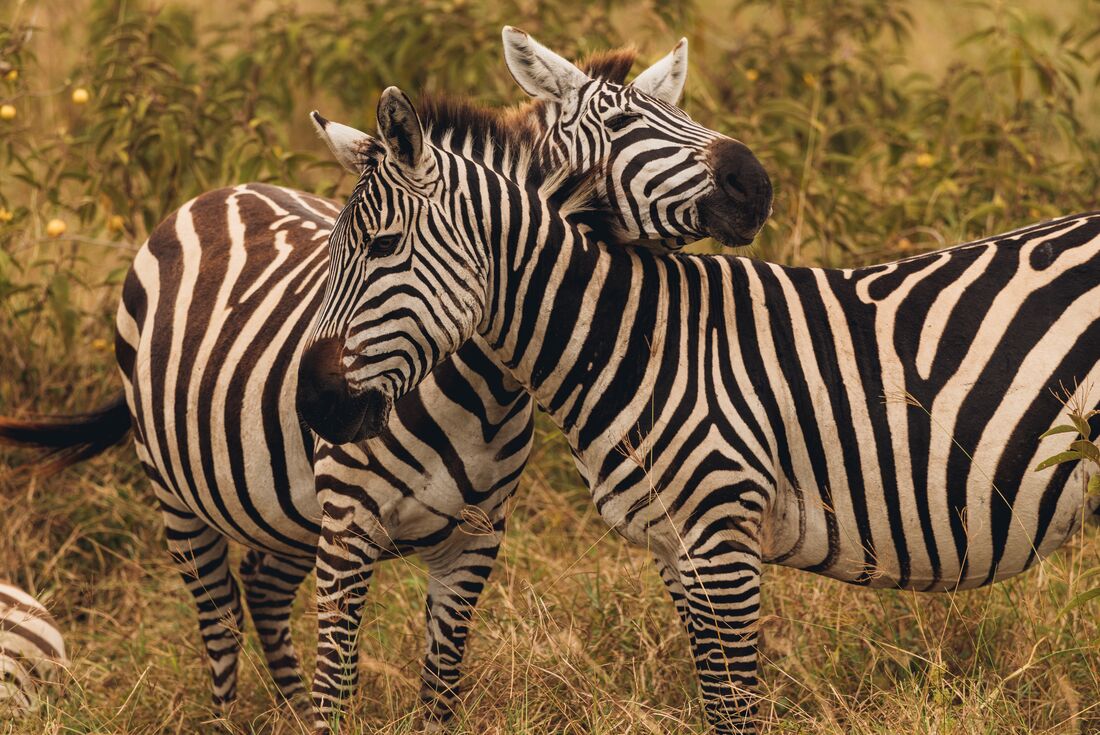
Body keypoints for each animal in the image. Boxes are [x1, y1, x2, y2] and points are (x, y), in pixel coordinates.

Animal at [297, 85, 1100, 734]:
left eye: (384, 246)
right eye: (334, 253)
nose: (313, 403)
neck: (635, 341)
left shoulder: (722, 538)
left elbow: (736, 707)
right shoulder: (677, 547)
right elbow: (718, 700)